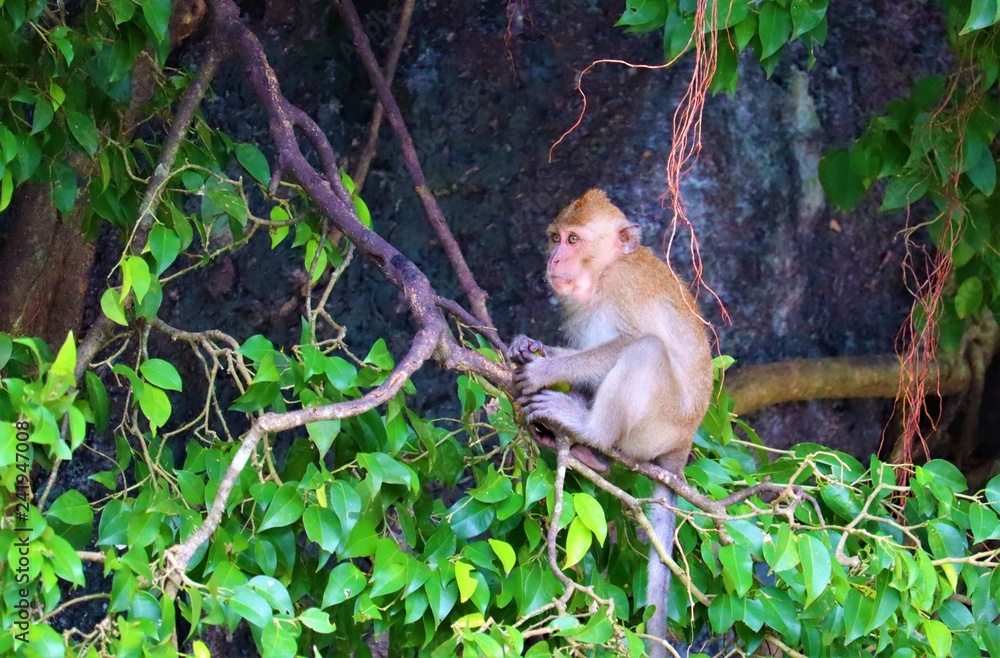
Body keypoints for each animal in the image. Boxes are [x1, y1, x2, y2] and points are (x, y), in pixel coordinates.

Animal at [508, 189, 712, 658]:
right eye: (555, 237)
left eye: (574, 239)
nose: (554, 258)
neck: (602, 275)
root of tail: (680, 449)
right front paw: (530, 346)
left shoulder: (624, 287)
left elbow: (628, 341)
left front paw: (545, 369)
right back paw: (584, 451)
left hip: (659, 427)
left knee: (646, 350)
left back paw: (589, 431)